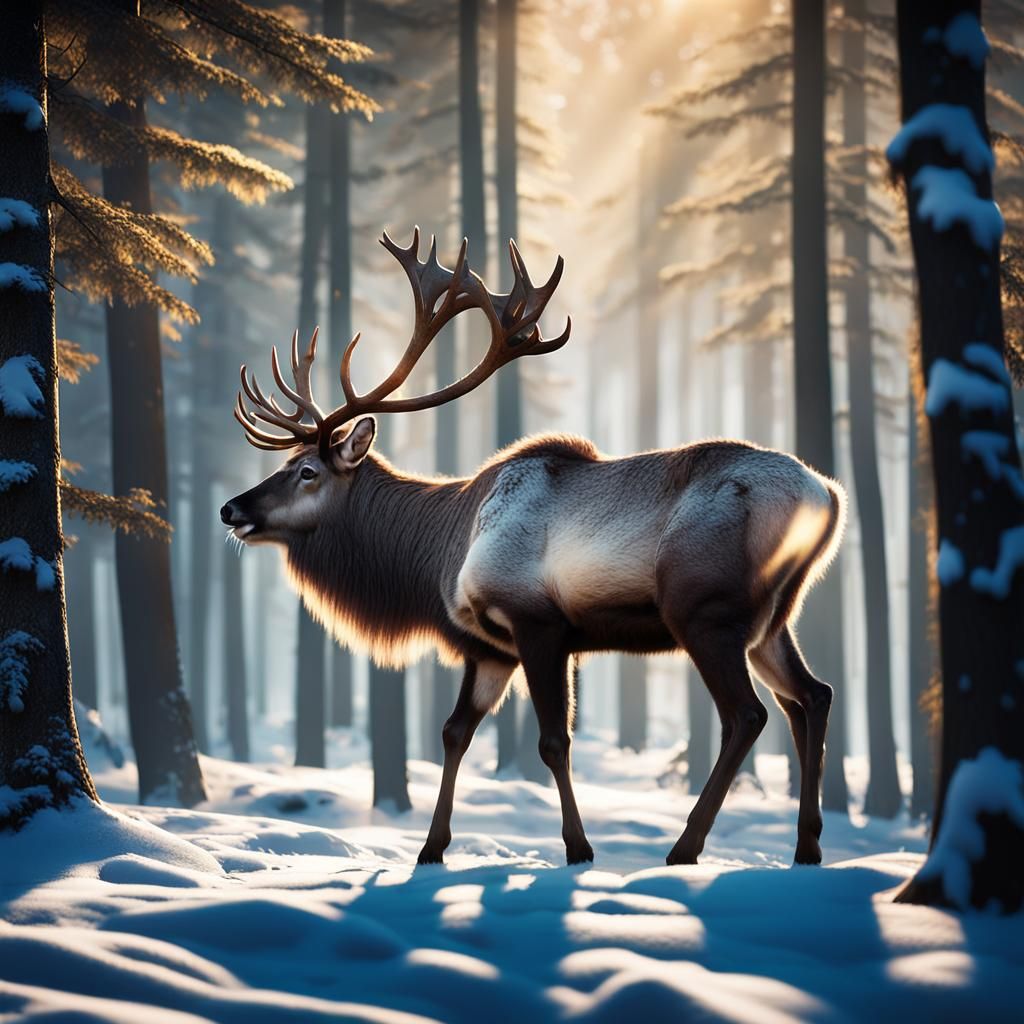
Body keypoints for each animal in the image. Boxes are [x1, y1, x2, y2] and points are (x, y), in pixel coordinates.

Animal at [221, 228, 846, 868]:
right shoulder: (490, 649)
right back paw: (807, 846)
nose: (231, 509)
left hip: (704, 611)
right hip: (772, 619)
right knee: (812, 696)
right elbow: (454, 732)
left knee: (748, 714)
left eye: (307, 472)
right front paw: (431, 849)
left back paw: (686, 847)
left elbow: (552, 741)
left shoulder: (536, 622)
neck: (438, 555)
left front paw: (578, 848)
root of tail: (827, 495)